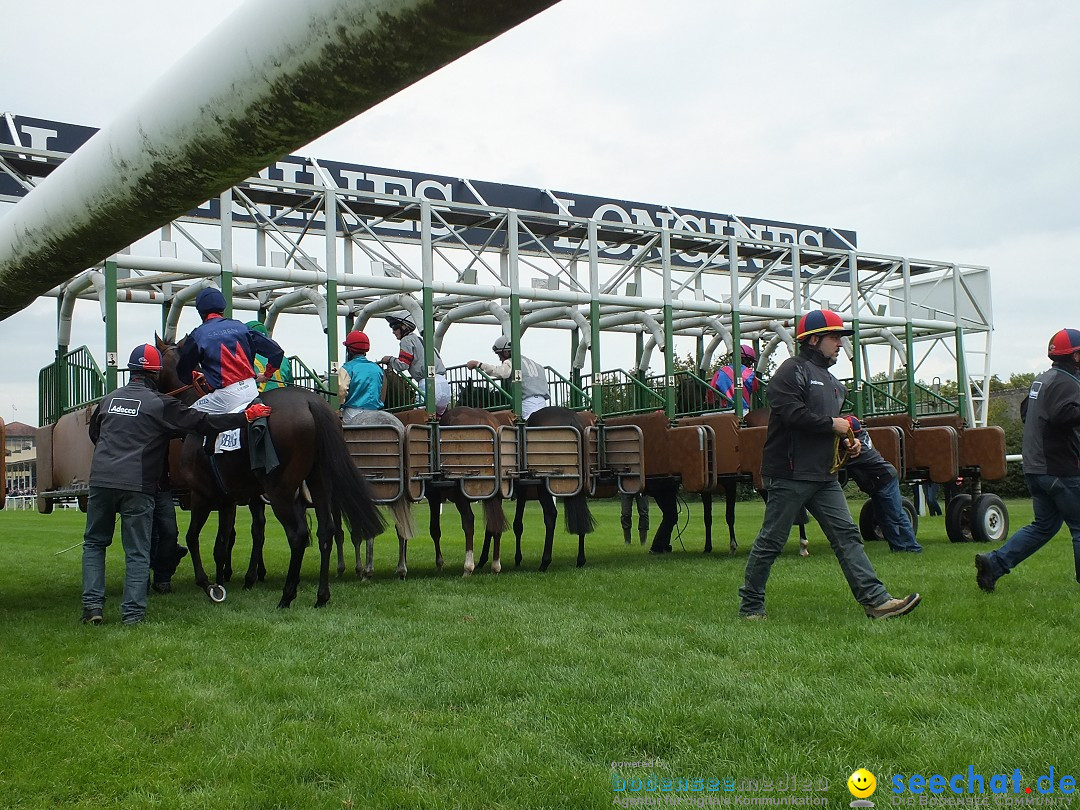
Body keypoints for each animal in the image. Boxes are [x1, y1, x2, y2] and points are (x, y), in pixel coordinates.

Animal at [156, 336, 384, 609]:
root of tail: (311, 403)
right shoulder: (228, 499)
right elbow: (224, 542)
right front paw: (223, 582)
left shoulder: (202, 494)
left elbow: (193, 538)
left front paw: (209, 584)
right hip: (319, 483)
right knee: (326, 531)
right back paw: (321, 596)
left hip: (279, 491)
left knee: (298, 535)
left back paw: (287, 596)